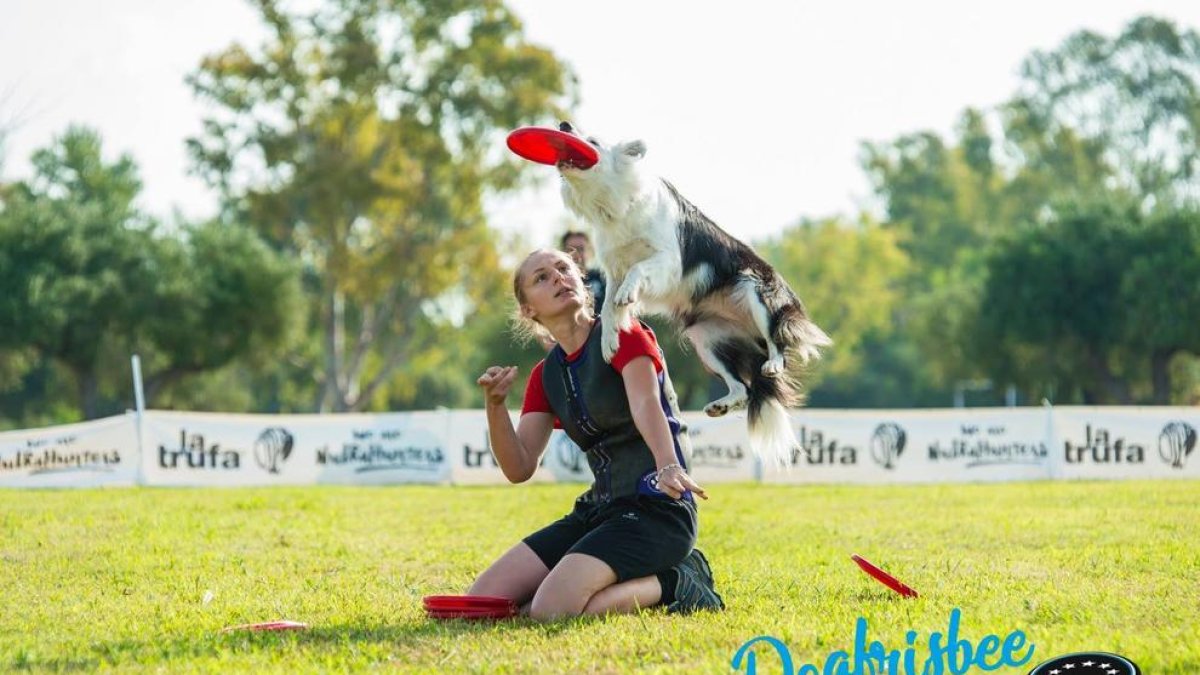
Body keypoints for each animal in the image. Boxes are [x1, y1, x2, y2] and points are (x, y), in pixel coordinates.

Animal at [556, 120, 830, 461]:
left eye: (592, 140)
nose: (564, 124)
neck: (615, 205)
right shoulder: (614, 268)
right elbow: (609, 307)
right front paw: (610, 340)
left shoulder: (668, 261)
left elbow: (638, 271)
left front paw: (627, 297)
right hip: (706, 339)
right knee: (742, 389)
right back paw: (720, 405)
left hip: (756, 291)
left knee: (776, 340)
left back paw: (773, 363)